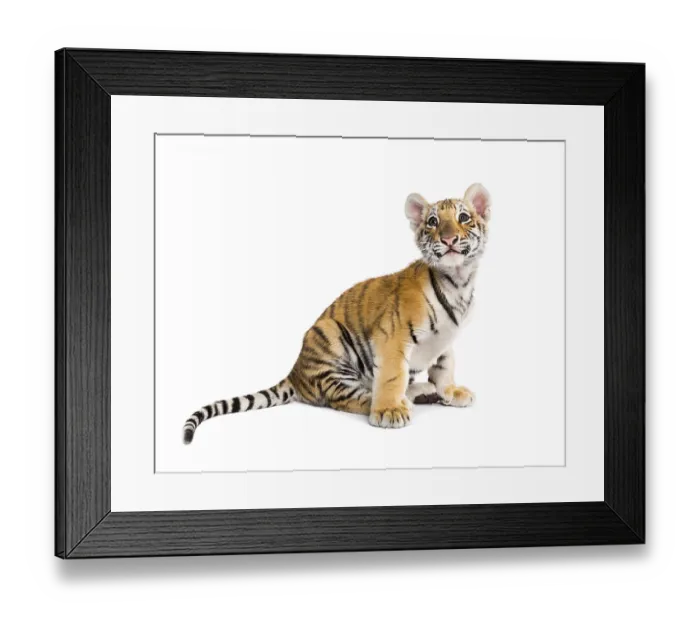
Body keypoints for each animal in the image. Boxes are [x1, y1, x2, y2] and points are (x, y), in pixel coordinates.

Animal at [183, 183, 491, 444]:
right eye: (432, 222)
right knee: (345, 396)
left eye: (464, 217)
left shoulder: (446, 340)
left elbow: (445, 366)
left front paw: (451, 391)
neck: (458, 281)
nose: (449, 239)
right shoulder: (392, 337)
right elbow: (392, 375)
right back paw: (399, 401)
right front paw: (389, 411)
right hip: (330, 341)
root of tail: (294, 373)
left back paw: (420, 392)